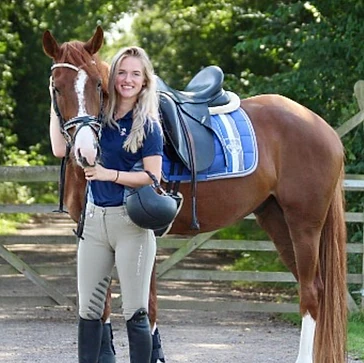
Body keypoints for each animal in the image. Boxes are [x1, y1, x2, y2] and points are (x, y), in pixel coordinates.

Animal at [42, 26, 346, 363]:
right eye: (56, 88)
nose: (86, 151)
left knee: (311, 293)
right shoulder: (94, 236)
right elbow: (108, 307)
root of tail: (322, 127)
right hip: (277, 220)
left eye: (98, 84)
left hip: (304, 224)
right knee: (310, 286)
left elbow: (146, 307)